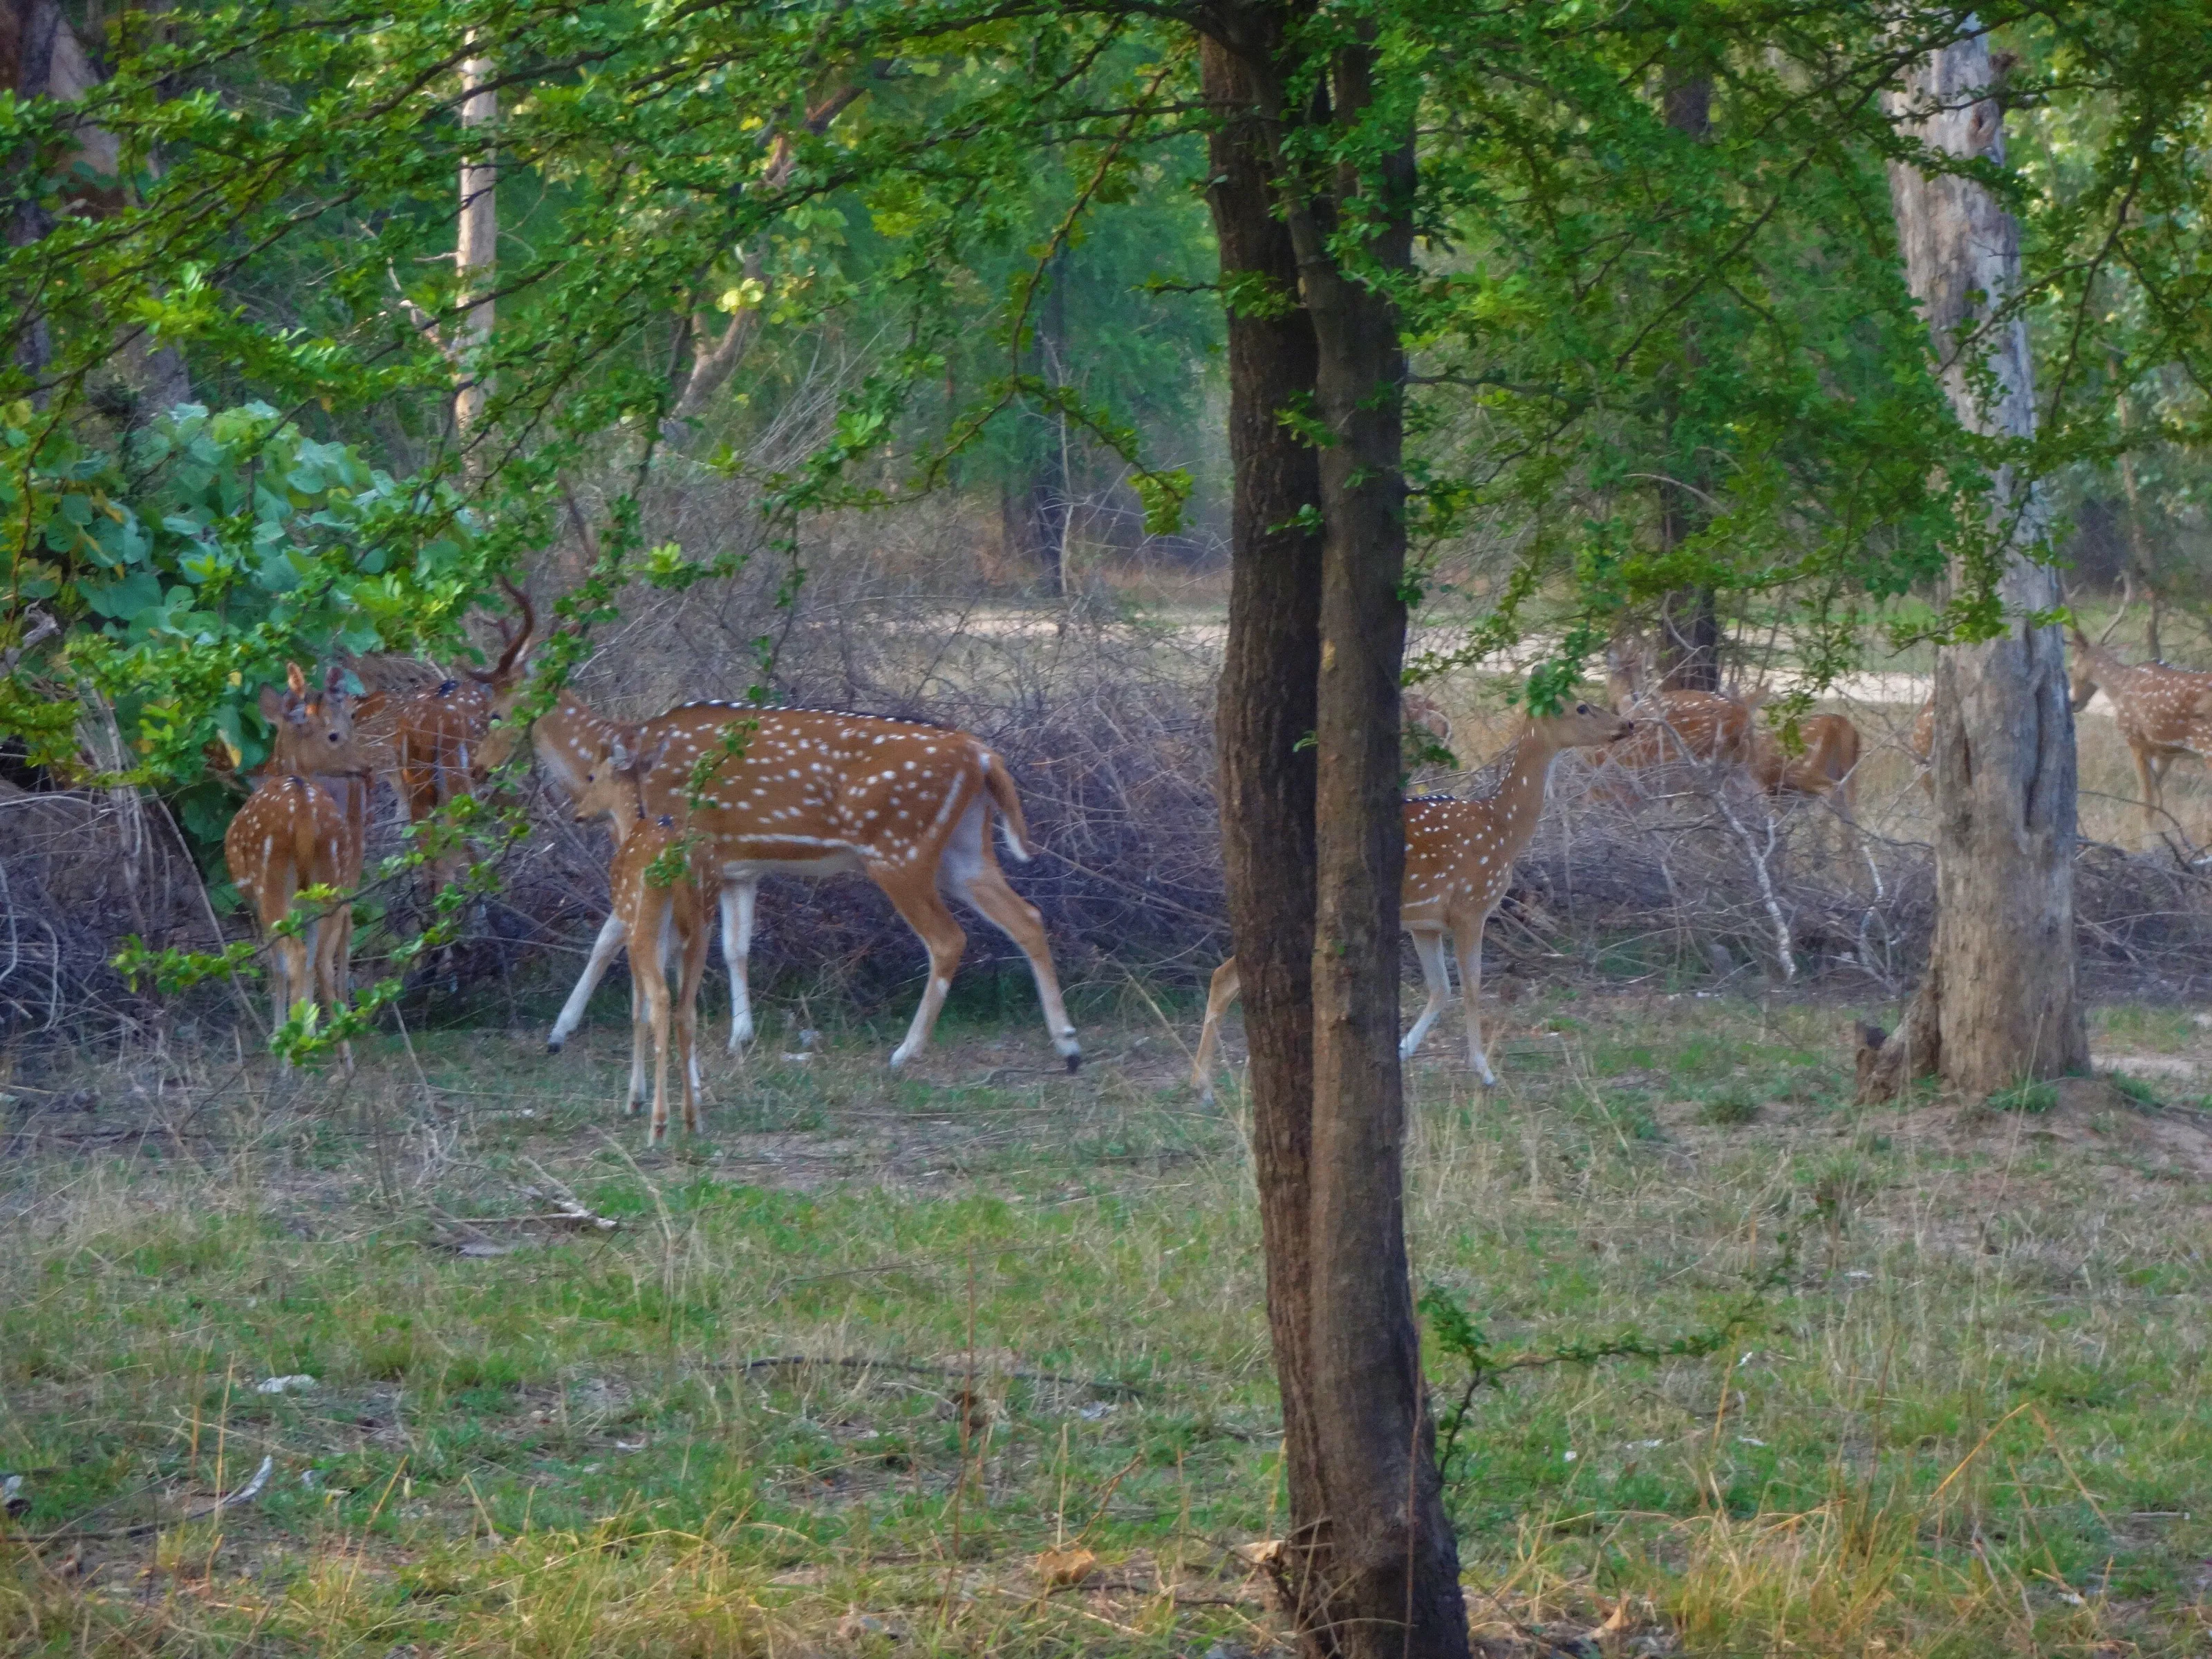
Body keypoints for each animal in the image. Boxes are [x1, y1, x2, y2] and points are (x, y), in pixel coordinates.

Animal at [222, 664, 373, 1059]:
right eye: (336, 733)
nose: (366, 766)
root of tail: (303, 811)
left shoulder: (255, 904)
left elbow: (274, 965)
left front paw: (278, 1033)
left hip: (273, 887)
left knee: (294, 956)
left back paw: (293, 1045)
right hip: (331, 882)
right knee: (323, 953)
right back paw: (334, 1044)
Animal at [530, 691, 1080, 1070]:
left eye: (595, 777)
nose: (576, 812)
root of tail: (984, 756)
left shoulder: (683, 855)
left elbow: (631, 935)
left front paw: (564, 1032)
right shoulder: (738, 870)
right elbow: (733, 947)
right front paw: (739, 1036)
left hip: (899, 850)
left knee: (948, 939)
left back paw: (906, 1052)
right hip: (963, 853)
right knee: (1028, 916)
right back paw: (1068, 1045)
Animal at [567, 726, 715, 1143]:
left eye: (591, 776)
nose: (577, 813)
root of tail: (679, 863)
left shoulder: (629, 926)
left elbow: (638, 1011)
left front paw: (634, 1098)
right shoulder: (675, 946)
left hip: (644, 927)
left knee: (662, 1003)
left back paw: (658, 1123)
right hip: (701, 931)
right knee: (686, 1010)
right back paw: (692, 1118)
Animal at [1189, 697, 1634, 1100]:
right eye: (1581, 707)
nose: (1627, 724)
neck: (1504, 830)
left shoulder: (1426, 922)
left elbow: (1442, 988)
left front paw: (1403, 1050)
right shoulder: (1471, 905)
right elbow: (1472, 987)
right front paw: (1484, 1070)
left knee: (1226, 975)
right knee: (1225, 977)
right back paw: (1204, 1086)